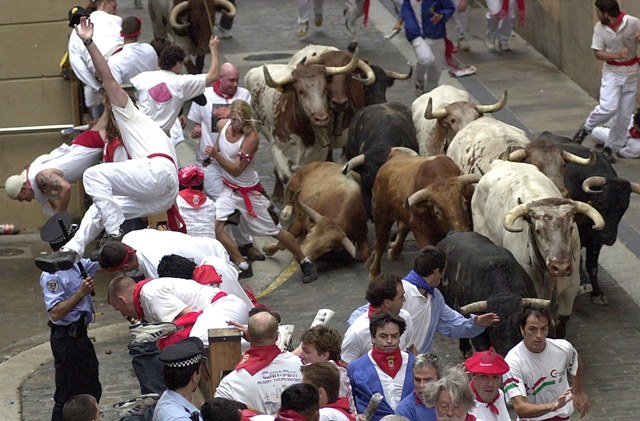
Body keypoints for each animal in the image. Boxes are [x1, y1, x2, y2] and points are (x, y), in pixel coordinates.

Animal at [370, 149, 480, 278]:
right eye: (437, 211)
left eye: (464, 202)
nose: (460, 232)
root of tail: (396, 154)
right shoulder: (421, 232)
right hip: (381, 214)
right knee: (381, 241)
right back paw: (374, 272)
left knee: (402, 228)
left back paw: (394, 251)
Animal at [472, 159, 604, 336]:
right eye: (538, 230)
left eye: (570, 228)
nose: (560, 267)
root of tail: (502, 162)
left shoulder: (571, 288)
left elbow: (561, 323)